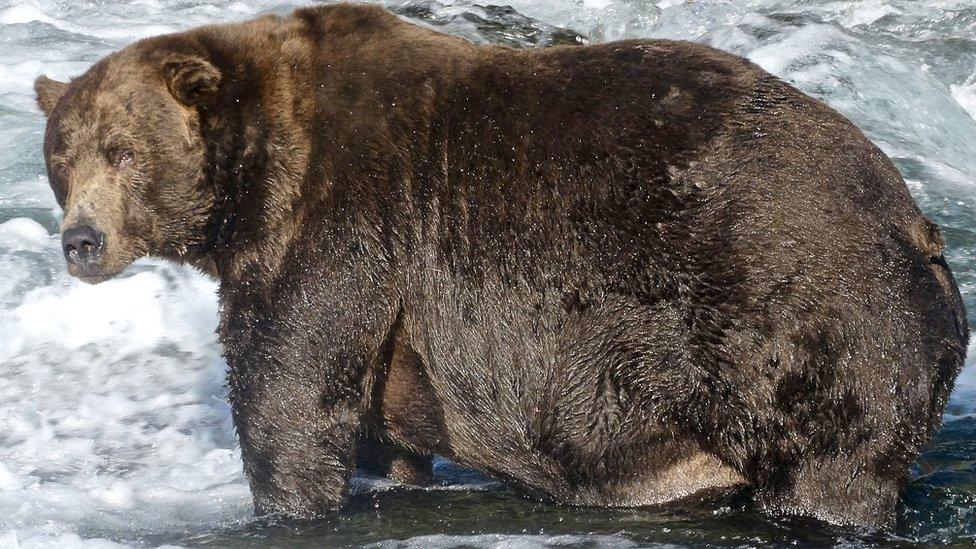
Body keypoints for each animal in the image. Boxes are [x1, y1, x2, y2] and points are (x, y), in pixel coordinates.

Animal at [32, 2, 968, 528]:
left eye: (122, 149)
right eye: (61, 156)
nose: (81, 241)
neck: (255, 178)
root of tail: (918, 224)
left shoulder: (344, 220)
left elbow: (290, 388)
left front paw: (283, 502)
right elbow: (371, 427)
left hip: (804, 319)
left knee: (830, 463)